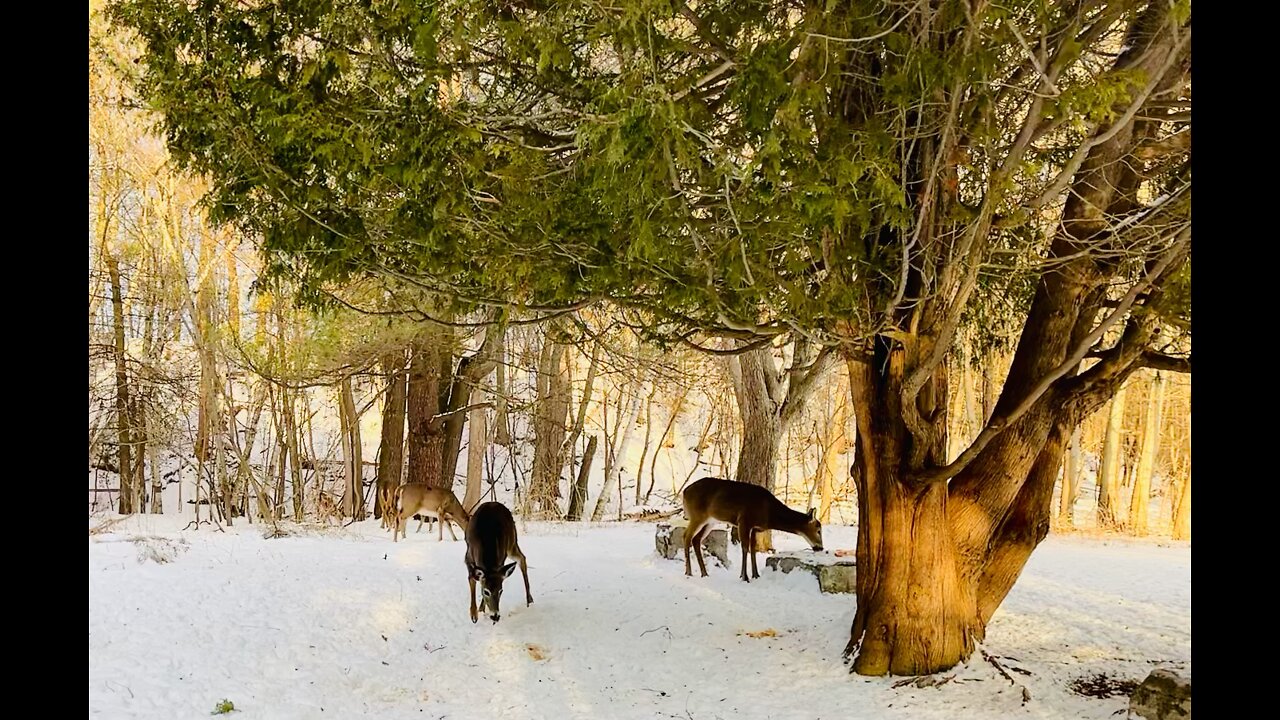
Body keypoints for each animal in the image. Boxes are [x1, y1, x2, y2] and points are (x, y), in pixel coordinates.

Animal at [686, 474, 824, 579]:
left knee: (696, 539)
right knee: (686, 536)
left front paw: (755, 575)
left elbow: (753, 549)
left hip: (710, 521)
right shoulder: (744, 521)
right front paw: (744, 577)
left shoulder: (755, 528)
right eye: (818, 530)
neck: (769, 513)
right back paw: (689, 572)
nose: (821, 548)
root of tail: (684, 491)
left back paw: (704, 573)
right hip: (697, 515)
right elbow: (745, 548)